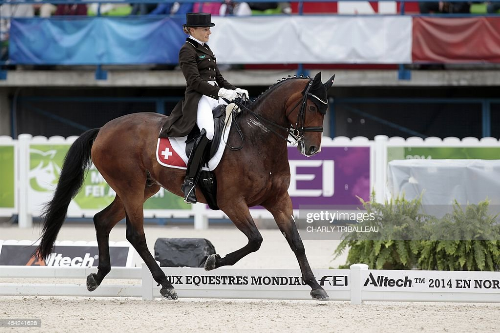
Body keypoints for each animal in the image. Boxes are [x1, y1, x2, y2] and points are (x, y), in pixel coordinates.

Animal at [37, 71, 336, 300]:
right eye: (312, 107)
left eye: (325, 109)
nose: (312, 149)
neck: (257, 140)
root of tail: (103, 130)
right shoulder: (231, 202)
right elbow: (255, 240)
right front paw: (212, 261)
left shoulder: (278, 200)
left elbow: (296, 242)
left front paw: (316, 286)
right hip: (130, 186)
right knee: (136, 235)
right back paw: (166, 285)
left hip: (142, 187)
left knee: (102, 221)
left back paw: (97, 277)